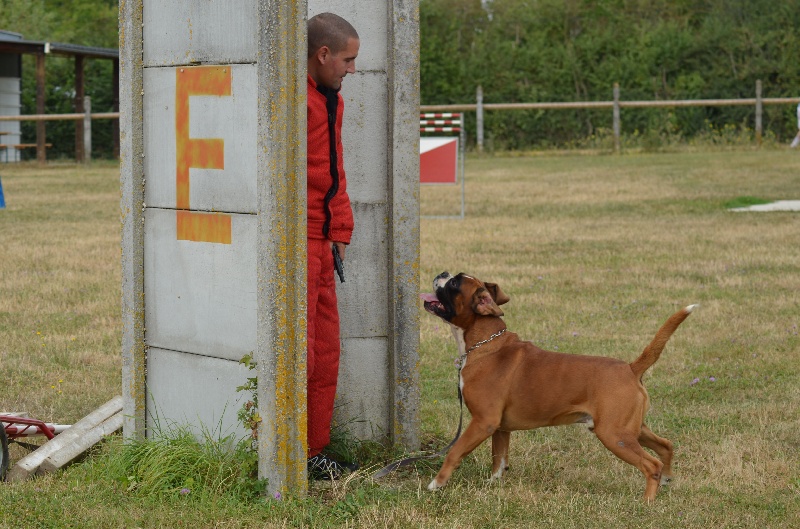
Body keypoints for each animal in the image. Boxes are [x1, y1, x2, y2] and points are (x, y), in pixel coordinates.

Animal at [422, 272, 696, 500]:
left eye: (454, 283)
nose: (442, 273)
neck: (486, 344)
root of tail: (630, 368)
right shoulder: (499, 428)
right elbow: (498, 460)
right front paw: (492, 485)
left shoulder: (483, 422)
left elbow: (454, 452)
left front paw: (436, 484)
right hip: (631, 429)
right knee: (666, 445)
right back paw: (666, 480)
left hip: (615, 435)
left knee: (651, 465)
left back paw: (647, 502)